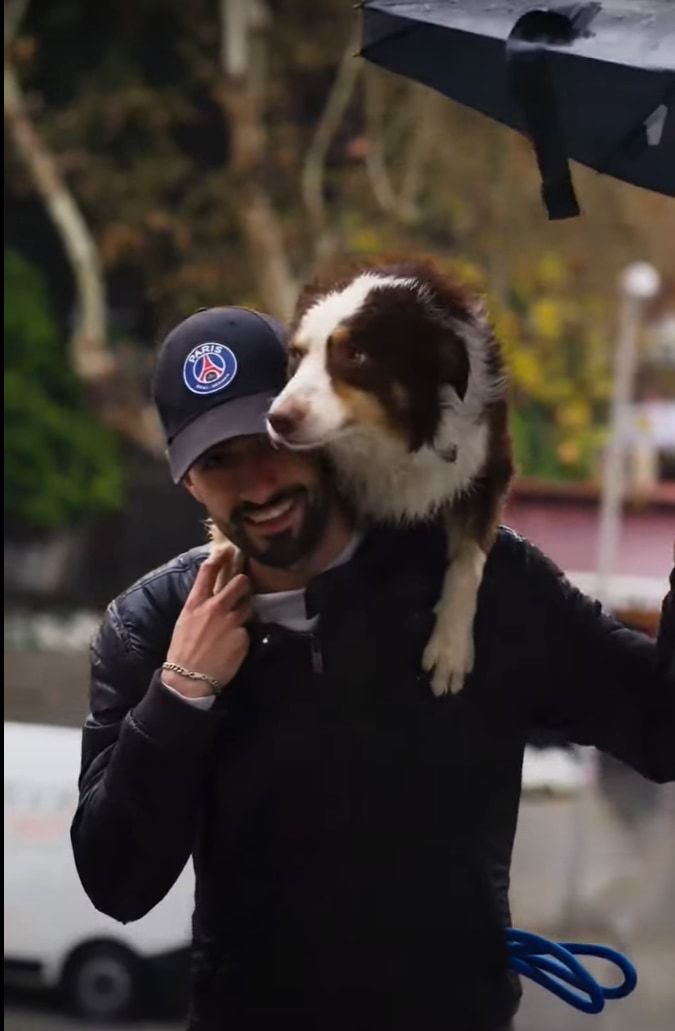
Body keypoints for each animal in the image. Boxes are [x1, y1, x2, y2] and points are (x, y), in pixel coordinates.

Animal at [265, 257, 515, 696]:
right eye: (296, 355)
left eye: (355, 354)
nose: (278, 420)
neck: (396, 438)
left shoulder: (488, 461)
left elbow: (469, 559)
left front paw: (450, 649)